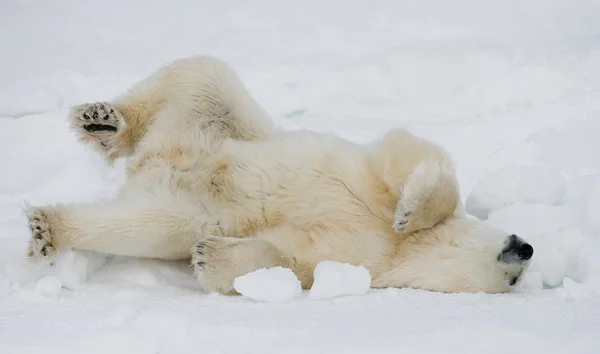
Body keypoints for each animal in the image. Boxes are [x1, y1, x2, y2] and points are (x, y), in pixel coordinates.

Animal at [24, 54, 536, 294]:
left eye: (515, 282)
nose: (525, 248)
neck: (402, 251)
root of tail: (154, 159)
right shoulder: (373, 174)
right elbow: (411, 153)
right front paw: (410, 211)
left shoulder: (363, 260)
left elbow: (296, 261)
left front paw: (213, 257)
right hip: (225, 124)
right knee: (204, 75)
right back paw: (103, 122)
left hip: (179, 201)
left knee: (143, 224)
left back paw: (50, 228)